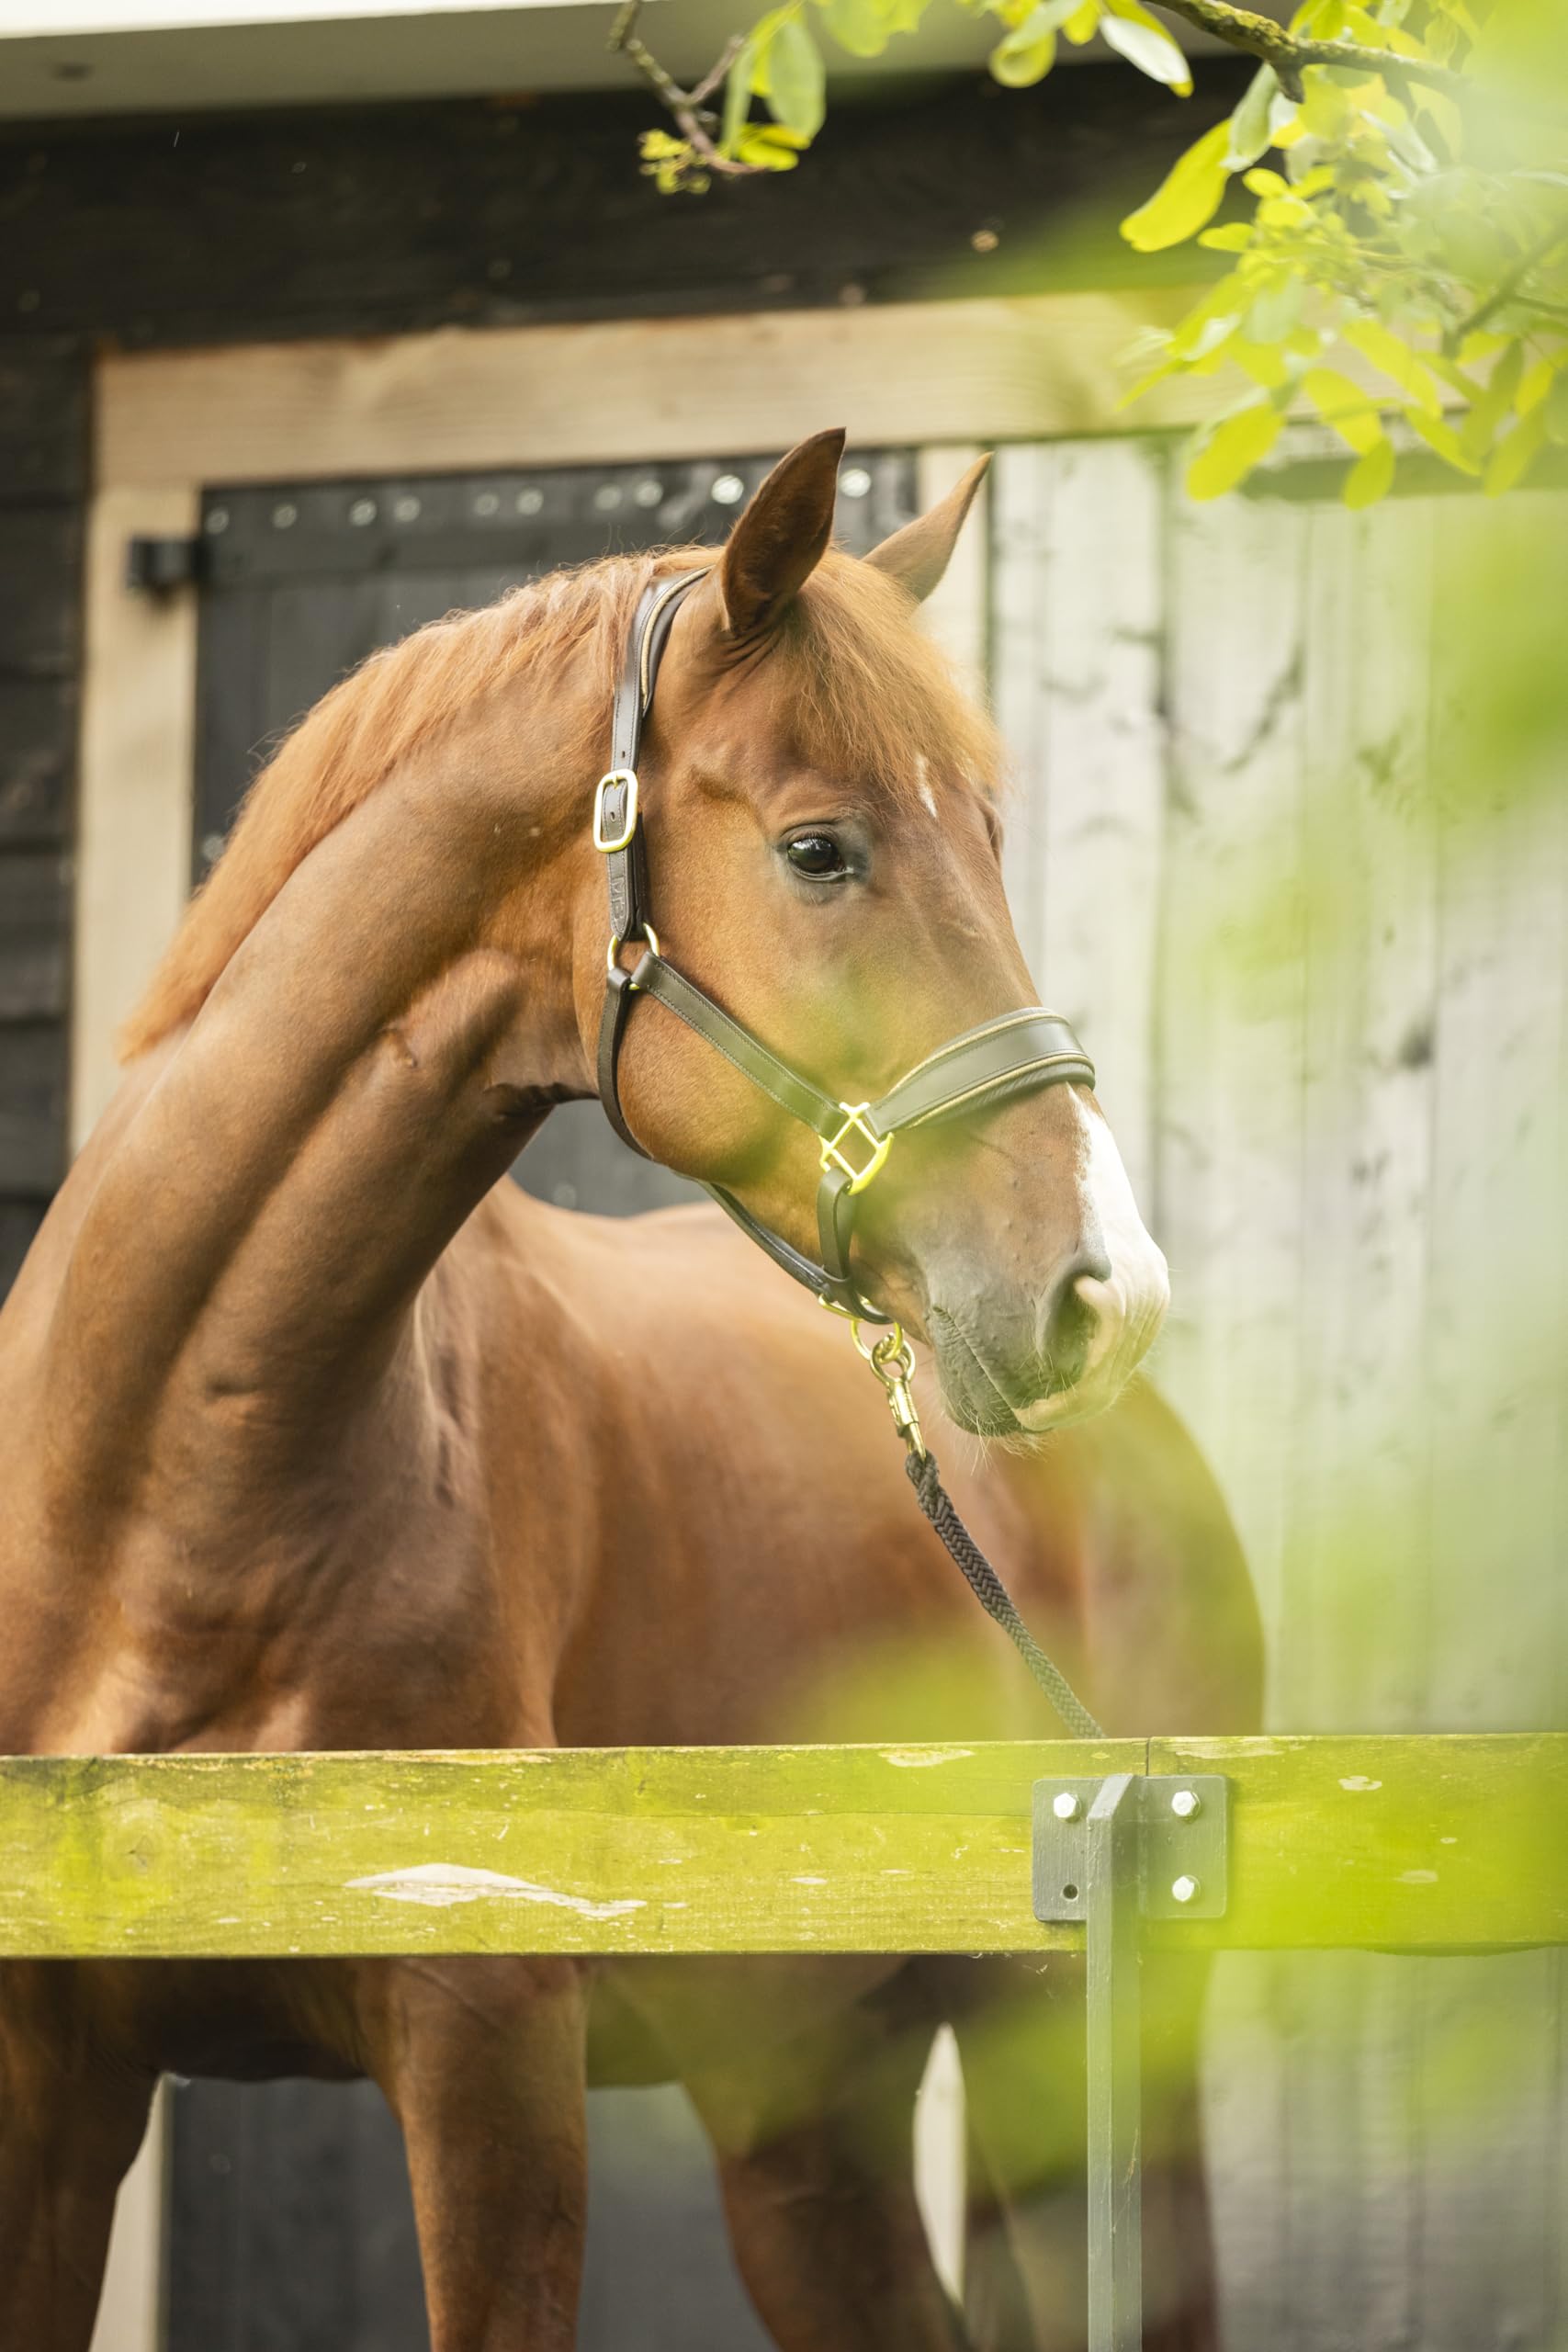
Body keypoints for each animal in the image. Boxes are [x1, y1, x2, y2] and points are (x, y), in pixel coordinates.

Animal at [0, 428, 1261, 2350]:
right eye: (821, 850)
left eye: (986, 836)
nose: (1100, 1291)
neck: (166, 1488)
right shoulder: (48, 2084)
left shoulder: (491, 2052)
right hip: (804, 2109)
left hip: (1089, 2060)